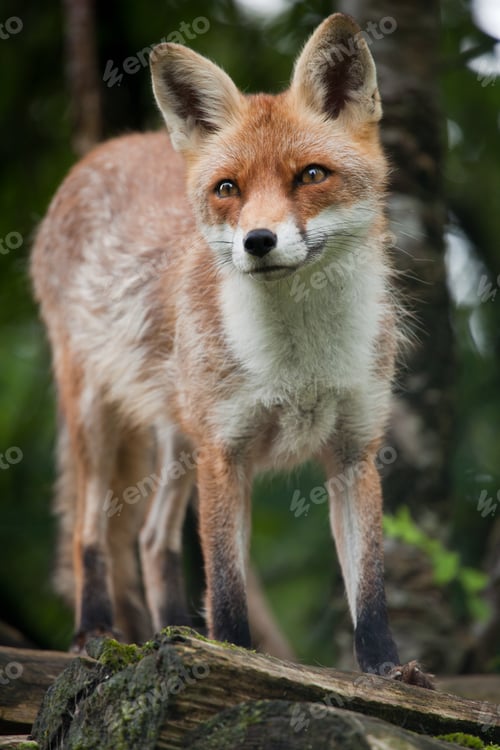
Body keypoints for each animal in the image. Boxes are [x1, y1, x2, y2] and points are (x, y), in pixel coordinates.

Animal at [31, 13, 433, 686]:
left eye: (311, 175)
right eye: (228, 188)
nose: (258, 241)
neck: (301, 361)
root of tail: (105, 149)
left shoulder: (354, 449)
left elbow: (370, 586)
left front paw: (385, 671)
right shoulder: (226, 450)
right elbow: (225, 585)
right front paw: (233, 659)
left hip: (177, 440)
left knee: (151, 540)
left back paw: (174, 633)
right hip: (97, 415)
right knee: (90, 531)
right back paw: (97, 632)